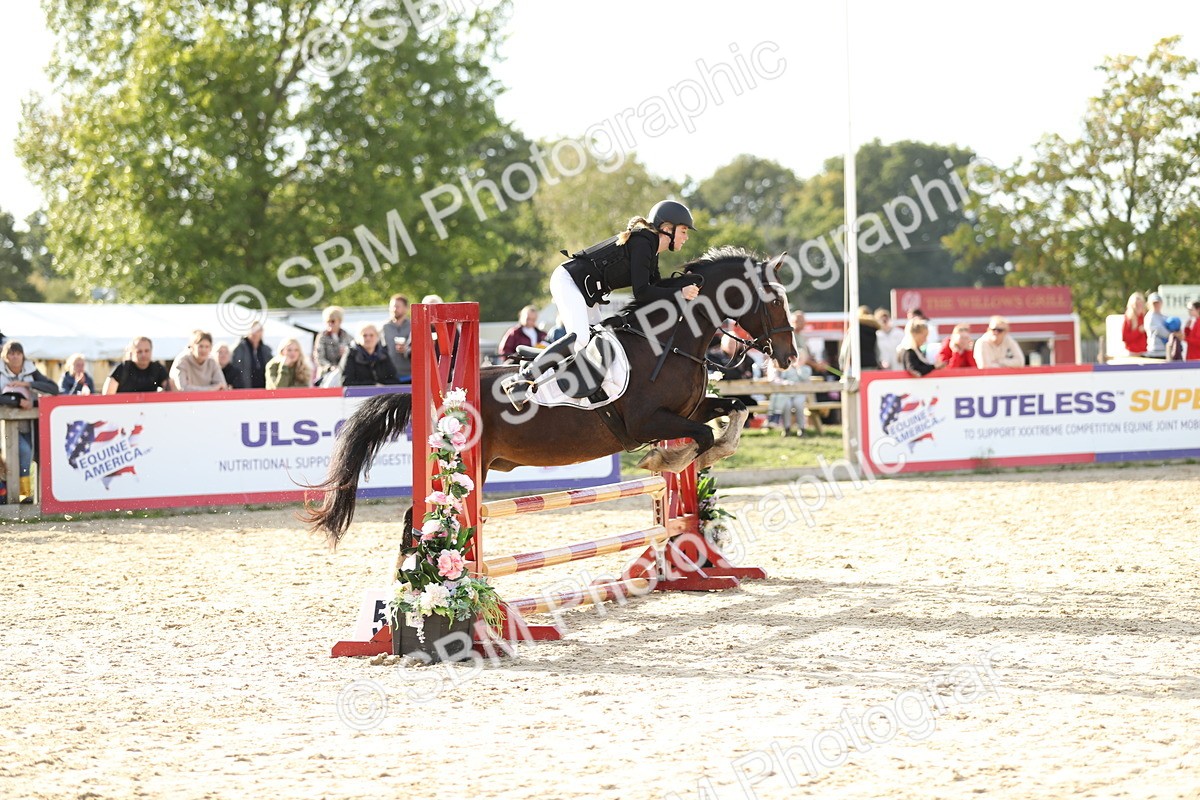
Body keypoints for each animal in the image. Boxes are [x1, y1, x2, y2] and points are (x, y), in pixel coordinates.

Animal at [307, 247, 798, 547]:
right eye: (774, 301)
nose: (790, 355)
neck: (668, 340)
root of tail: (446, 397)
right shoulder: (647, 421)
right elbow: (699, 437)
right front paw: (666, 459)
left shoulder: (689, 409)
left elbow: (735, 412)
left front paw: (706, 453)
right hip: (464, 467)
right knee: (420, 519)